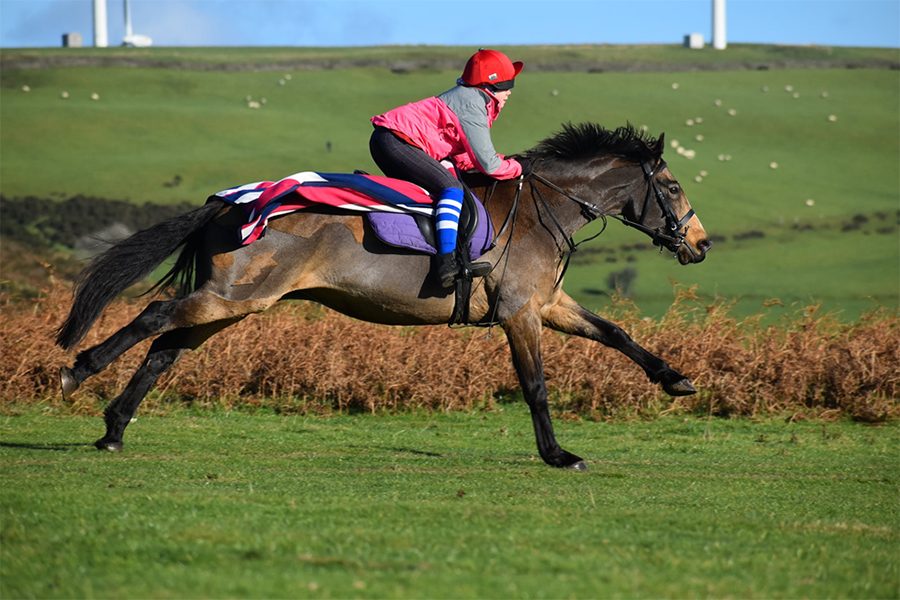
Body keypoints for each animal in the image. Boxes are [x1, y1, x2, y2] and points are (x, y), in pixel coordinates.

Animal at [56, 123, 712, 468]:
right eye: (675, 186)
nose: (701, 244)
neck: (541, 210)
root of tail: (232, 203)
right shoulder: (520, 313)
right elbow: (536, 387)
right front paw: (557, 454)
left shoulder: (547, 305)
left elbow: (616, 333)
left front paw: (676, 378)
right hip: (236, 297)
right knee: (152, 317)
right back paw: (77, 371)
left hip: (235, 302)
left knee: (166, 348)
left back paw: (114, 428)